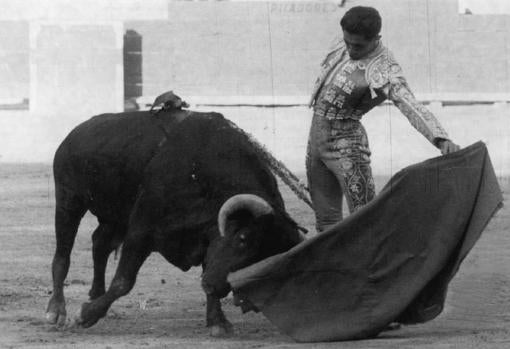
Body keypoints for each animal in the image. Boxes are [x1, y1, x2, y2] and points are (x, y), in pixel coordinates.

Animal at [44, 97, 302, 334]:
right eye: (242, 239)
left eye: (266, 260)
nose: (216, 286)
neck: (202, 171)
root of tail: (76, 133)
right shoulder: (141, 230)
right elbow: (124, 281)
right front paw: (85, 315)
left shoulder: (207, 238)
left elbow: (206, 267)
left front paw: (217, 322)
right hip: (69, 201)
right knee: (62, 256)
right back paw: (56, 310)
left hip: (114, 217)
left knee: (100, 245)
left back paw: (95, 295)